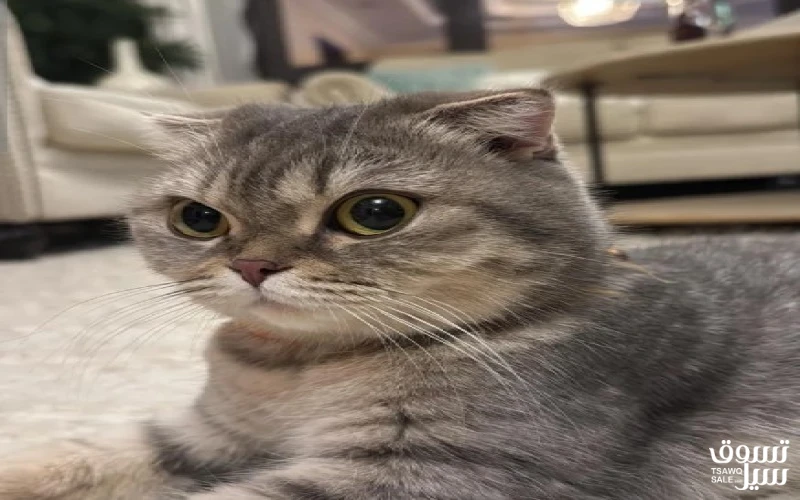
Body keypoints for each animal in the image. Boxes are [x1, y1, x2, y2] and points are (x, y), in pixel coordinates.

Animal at [1, 88, 798, 500]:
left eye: (375, 212)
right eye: (198, 219)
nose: (252, 266)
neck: (298, 370)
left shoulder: (423, 472)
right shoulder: (210, 436)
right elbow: (84, 452)